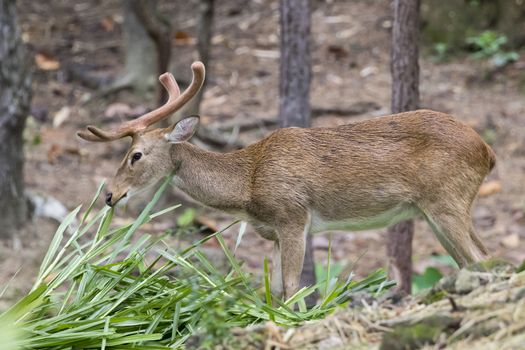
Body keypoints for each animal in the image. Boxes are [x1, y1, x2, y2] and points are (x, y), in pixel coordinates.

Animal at [75, 61, 494, 300]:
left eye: (135, 155)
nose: (110, 195)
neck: (248, 184)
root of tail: (488, 152)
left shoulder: (293, 216)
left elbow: (294, 287)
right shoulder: (274, 232)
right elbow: (276, 289)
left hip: (446, 201)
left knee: (478, 260)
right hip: (443, 208)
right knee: (481, 258)